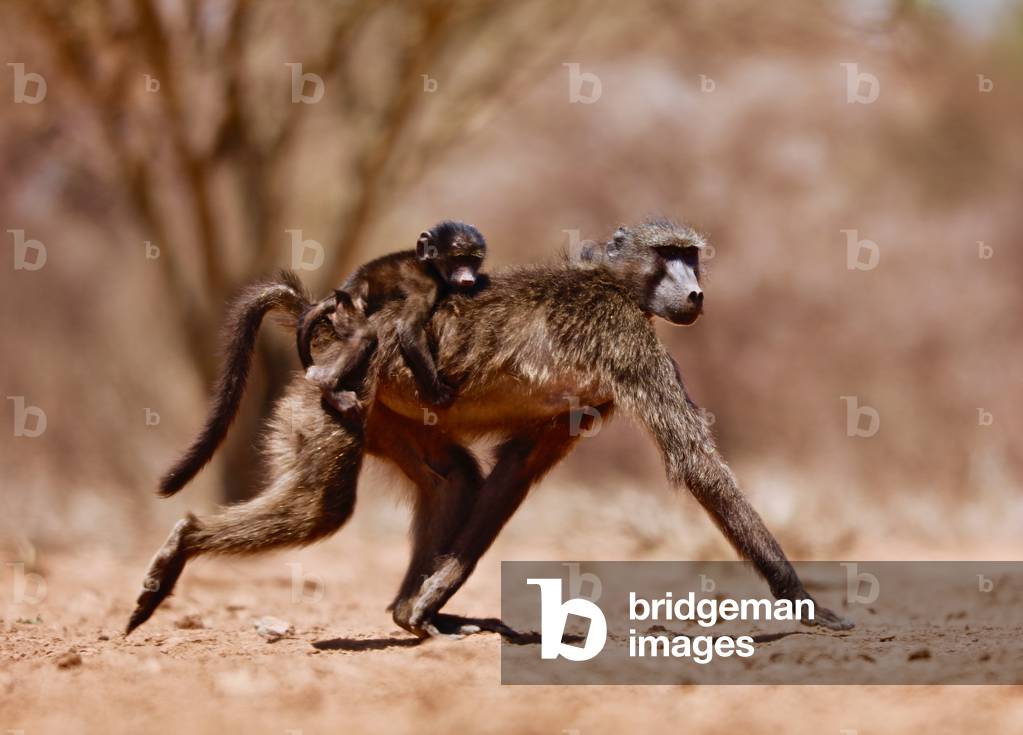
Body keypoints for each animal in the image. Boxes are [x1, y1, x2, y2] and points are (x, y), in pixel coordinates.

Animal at [296, 220, 488, 416]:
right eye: (458, 258)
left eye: (473, 259)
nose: (468, 277)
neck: (431, 267)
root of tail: (340, 294)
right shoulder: (427, 285)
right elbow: (409, 328)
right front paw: (437, 391)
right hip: (344, 312)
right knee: (364, 333)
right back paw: (327, 385)